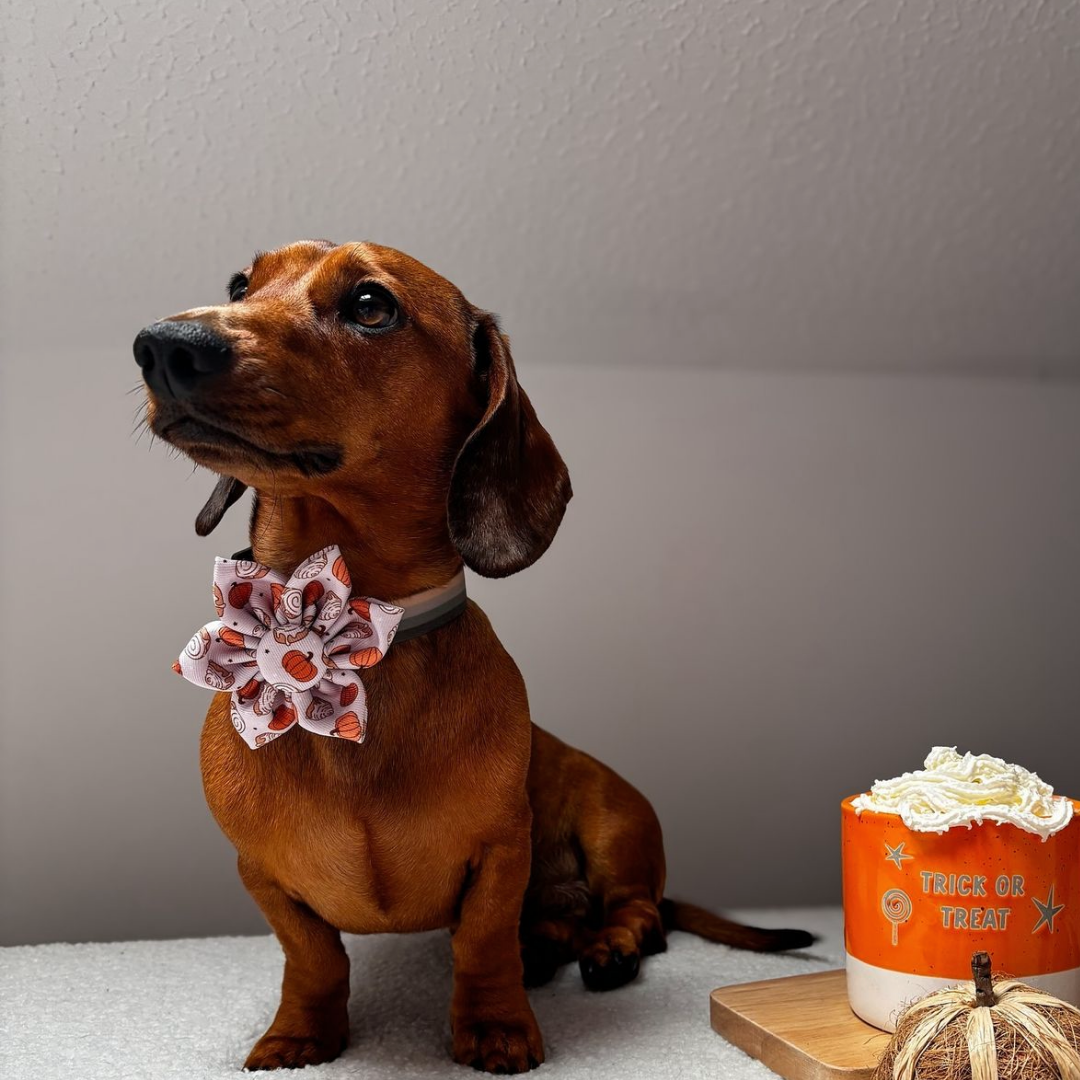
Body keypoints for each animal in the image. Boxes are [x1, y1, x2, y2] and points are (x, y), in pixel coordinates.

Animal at [135, 240, 812, 1075]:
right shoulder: (264, 875)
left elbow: (483, 946)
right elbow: (315, 956)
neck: (354, 637)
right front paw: (301, 1033)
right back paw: (552, 947)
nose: (163, 346)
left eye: (370, 305)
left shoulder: (499, 853)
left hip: (616, 823)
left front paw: (495, 1028)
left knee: (640, 913)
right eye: (240, 285)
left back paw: (608, 949)